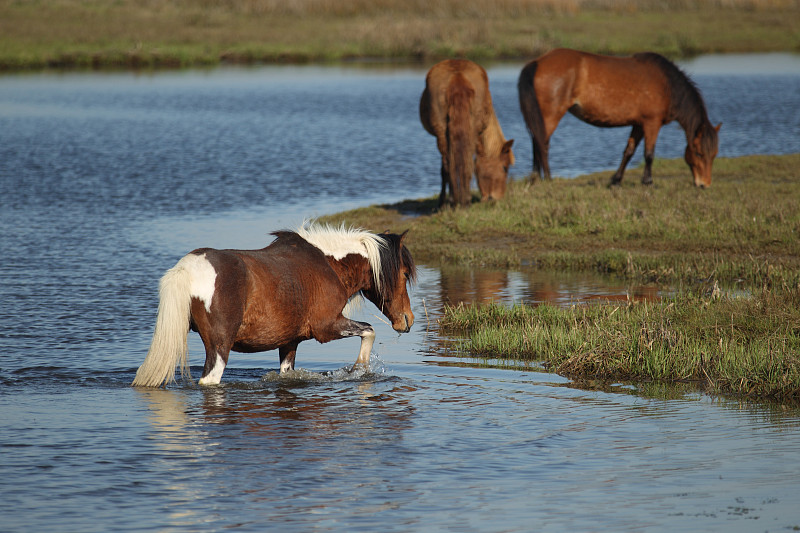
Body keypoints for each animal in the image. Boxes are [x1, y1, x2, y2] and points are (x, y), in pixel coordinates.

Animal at [132, 221, 416, 386]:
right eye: (404, 273)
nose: (408, 320)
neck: (328, 265)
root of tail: (187, 269)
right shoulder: (327, 327)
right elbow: (369, 330)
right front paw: (359, 369)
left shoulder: (289, 342)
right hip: (219, 348)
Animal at [516, 47, 720, 188]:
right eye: (699, 153)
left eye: (714, 154)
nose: (704, 184)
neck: (667, 84)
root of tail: (538, 62)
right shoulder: (652, 123)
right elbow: (649, 154)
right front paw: (648, 182)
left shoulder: (639, 124)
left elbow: (628, 151)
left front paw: (616, 180)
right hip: (550, 115)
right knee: (542, 144)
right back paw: (548, 179)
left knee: (536, 142)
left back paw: (535, 177)